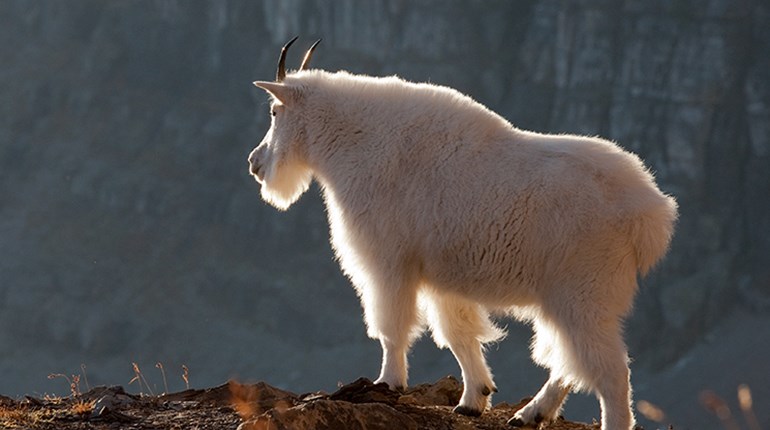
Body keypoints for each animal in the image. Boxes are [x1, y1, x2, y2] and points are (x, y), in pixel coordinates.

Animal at [247, 38, 677, 430]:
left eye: (274, 110)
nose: (255, 163)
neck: (357, 143)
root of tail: (649, 212)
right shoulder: (440, 276)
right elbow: (458, 334)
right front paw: (473, 399)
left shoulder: (388, 262)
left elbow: (391, 327)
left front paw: (387, 382)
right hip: (569, 299)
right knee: (569, 360)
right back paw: (530, 413)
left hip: (584, 291)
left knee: (608, 370)